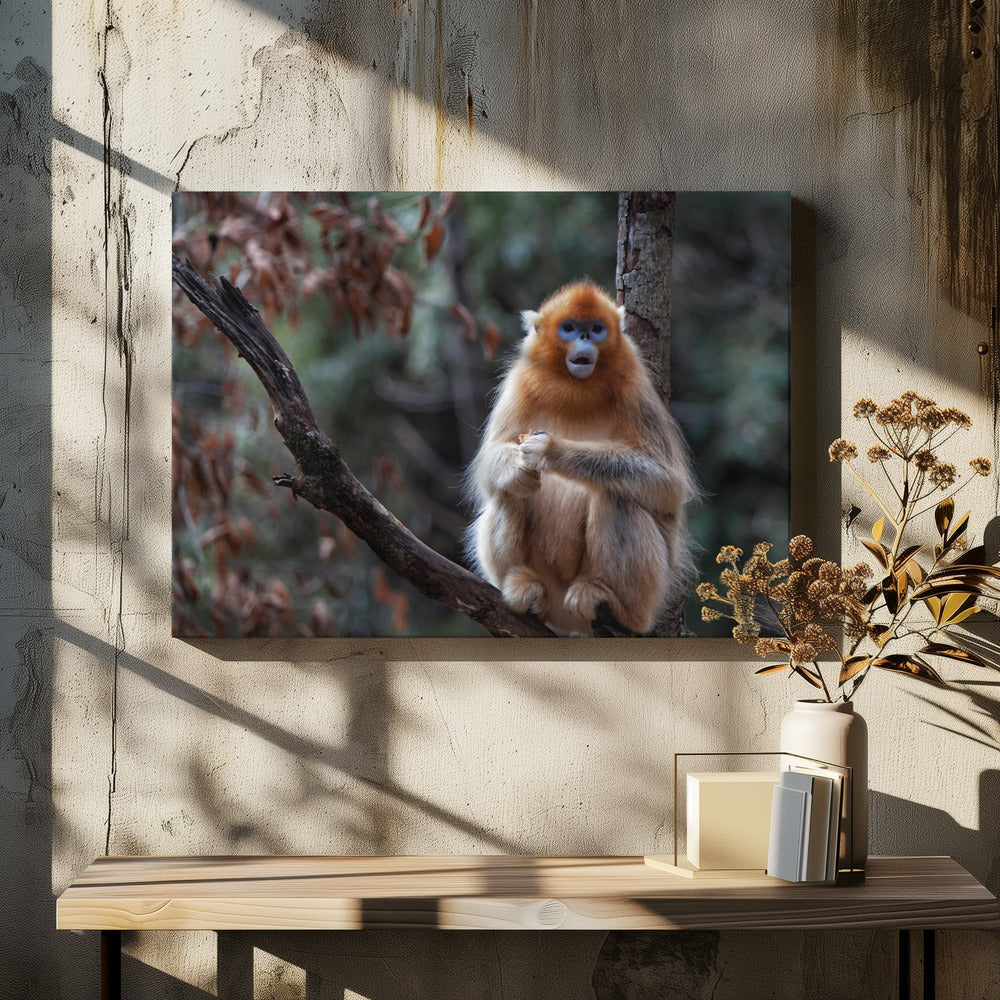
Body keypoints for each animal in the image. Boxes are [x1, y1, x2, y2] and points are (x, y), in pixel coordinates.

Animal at [465, 280, 695, 635]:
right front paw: (518, 464)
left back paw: (610, 602)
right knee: (510, 489)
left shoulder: (636, 389)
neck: (577, 389)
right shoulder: (519, 383)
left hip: (650, 591)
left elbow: (667, 486)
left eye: (597, 329)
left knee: (618, 496)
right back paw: (521, 584)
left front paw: (552, 450)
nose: (584, 337)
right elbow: (489, 464)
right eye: (569, 328)